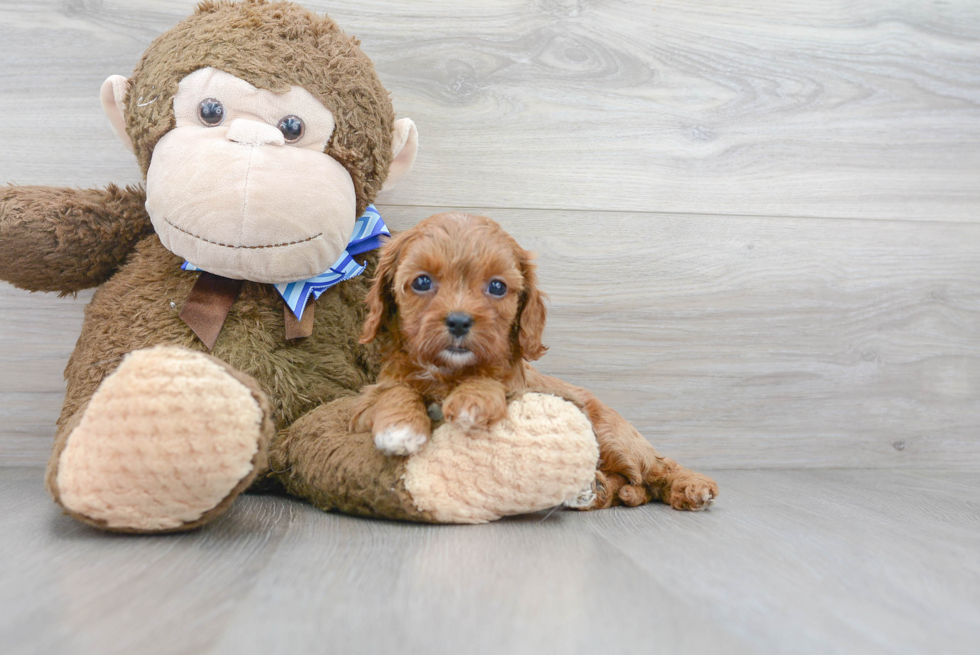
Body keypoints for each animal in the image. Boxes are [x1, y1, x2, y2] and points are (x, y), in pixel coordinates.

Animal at [348, 213, 716, 510]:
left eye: (497, 287)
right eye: (422, 281)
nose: (459, 321)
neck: (450, 372)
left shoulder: (520, 396)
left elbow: (490, 382)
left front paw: (472, 402)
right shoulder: (372, 396)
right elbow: (393, 391)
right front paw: (400, 428)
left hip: (612, 436)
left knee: (656, 469)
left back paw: (692, 488)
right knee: (631, 483)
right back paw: (596, 489)